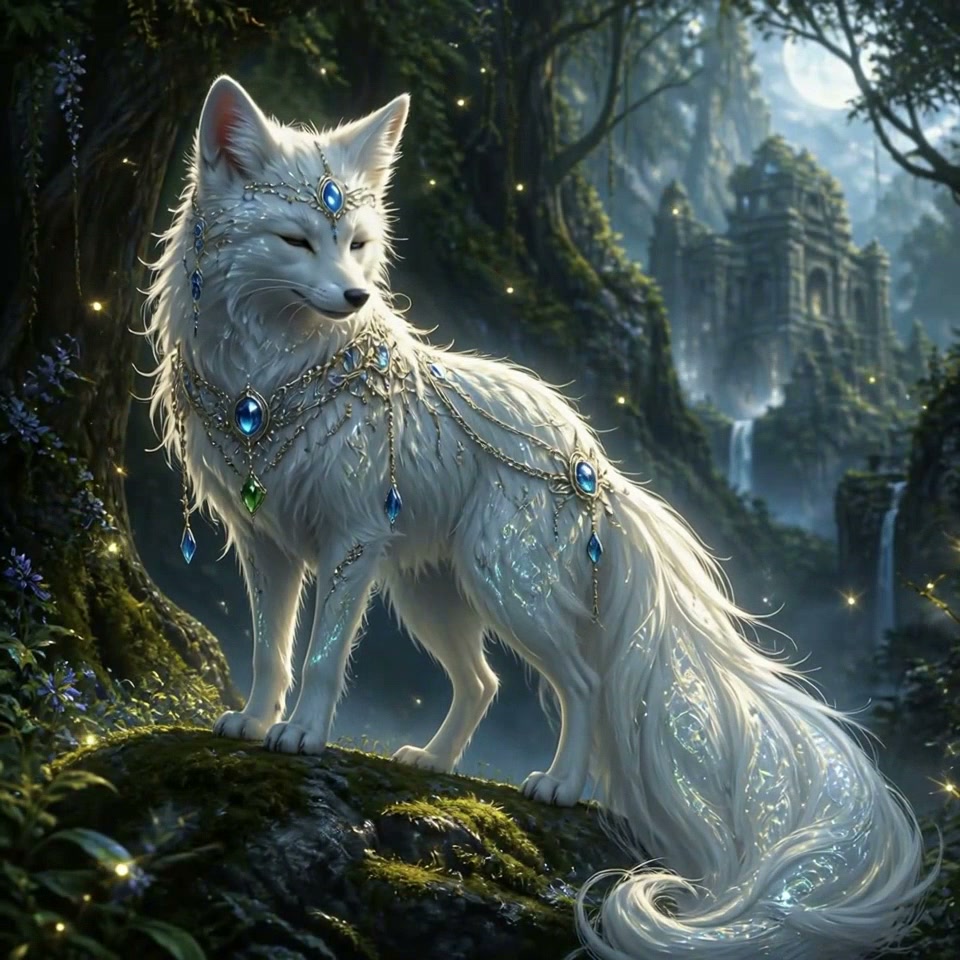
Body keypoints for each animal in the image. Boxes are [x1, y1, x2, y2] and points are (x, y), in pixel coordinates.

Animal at [143, 75, 934, 959]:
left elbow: (319, 657)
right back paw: (432, 762)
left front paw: (304, 736)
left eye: (356, 242)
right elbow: (270, 650)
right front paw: (253, 723)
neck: (269, 382)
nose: (356, 297)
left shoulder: (348, 542)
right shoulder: (267, 546)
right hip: (433, 597)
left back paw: (559, 783)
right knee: (485, 682)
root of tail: (593, 460)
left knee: (582, 682)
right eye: (294, 239)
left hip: (504, 587)